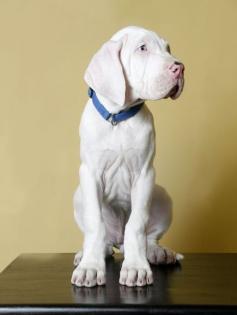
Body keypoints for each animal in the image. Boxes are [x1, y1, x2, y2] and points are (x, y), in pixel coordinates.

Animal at [71, 26, 184, 288]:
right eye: (142, 48)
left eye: (168, 48)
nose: (180, 68)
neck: (118, 119)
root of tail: (117, 241)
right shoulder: (89, 174)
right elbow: (95, 224)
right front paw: (90, 267)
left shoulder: (144, 174)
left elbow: (137, 225)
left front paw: (135, 267)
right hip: (79, 195)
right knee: (101, 239)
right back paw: (87, 253)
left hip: (161, 194)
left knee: (148, 237)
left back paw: (157, 253)